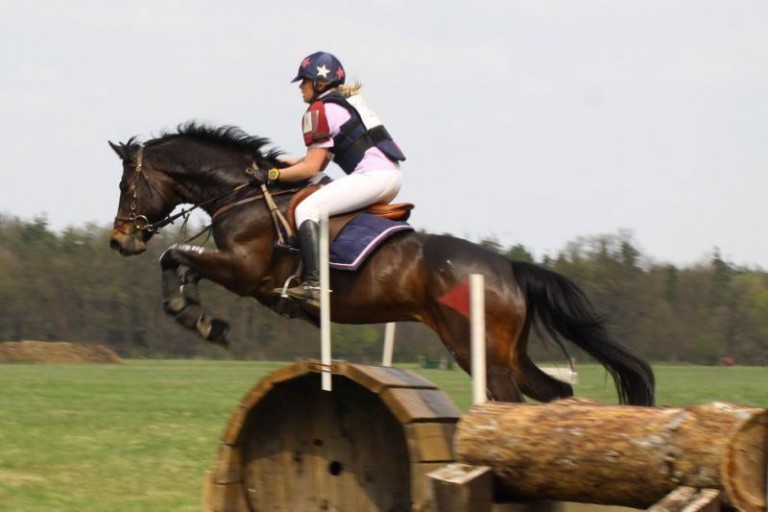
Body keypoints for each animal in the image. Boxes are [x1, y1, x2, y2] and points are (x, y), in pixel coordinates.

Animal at [108, 123, 656, 404]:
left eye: (126, 185)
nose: (119, 241)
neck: (242, 193)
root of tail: (508, 269)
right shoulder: (233, 270)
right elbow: (179, 263)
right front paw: (201, 318)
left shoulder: (244, 271)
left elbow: (174, 255)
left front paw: (198, 319)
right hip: (507, 352)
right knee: (554, 393)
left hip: (480, 352)